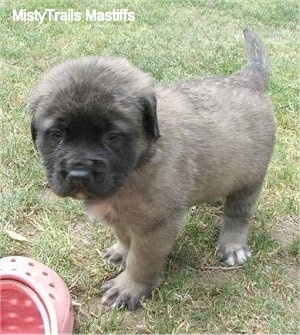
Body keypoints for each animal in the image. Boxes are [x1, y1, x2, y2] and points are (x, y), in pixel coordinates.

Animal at [29, 30, 274, 312]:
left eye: (112, 136)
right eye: (57, 135)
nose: (79, 175)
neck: (138, 164)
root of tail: (247, 79)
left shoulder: (155, 225)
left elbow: (142, 260)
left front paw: (129, 288)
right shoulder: (122, 216)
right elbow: (125, 236)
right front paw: (121, 251)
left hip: (250, 177)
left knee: (238, 212)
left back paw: (233, 245)